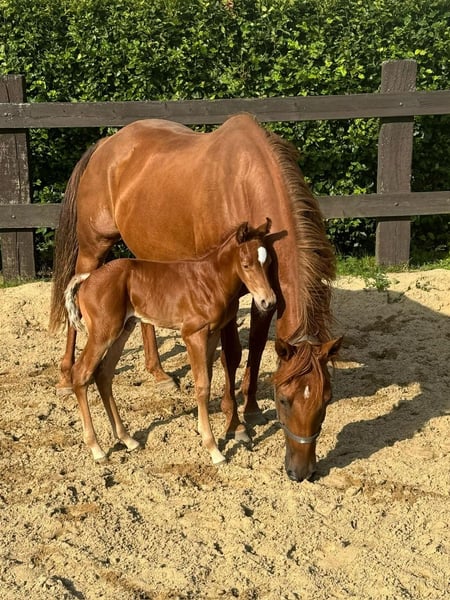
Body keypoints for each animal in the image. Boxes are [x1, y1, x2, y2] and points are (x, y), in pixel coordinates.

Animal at [64, 221, 276, 464]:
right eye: (246, 264)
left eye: (268, 262)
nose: (268, 302)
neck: (211, 280)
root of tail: (87, 278)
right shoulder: (193, 334)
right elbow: (202, 386)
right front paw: (213, 449)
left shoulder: (212, 334)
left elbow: (207, 378)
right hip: (102, 333)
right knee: (81, 374)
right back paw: (97, 449)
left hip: (123, 329)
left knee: (104, 374)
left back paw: (128, 439)